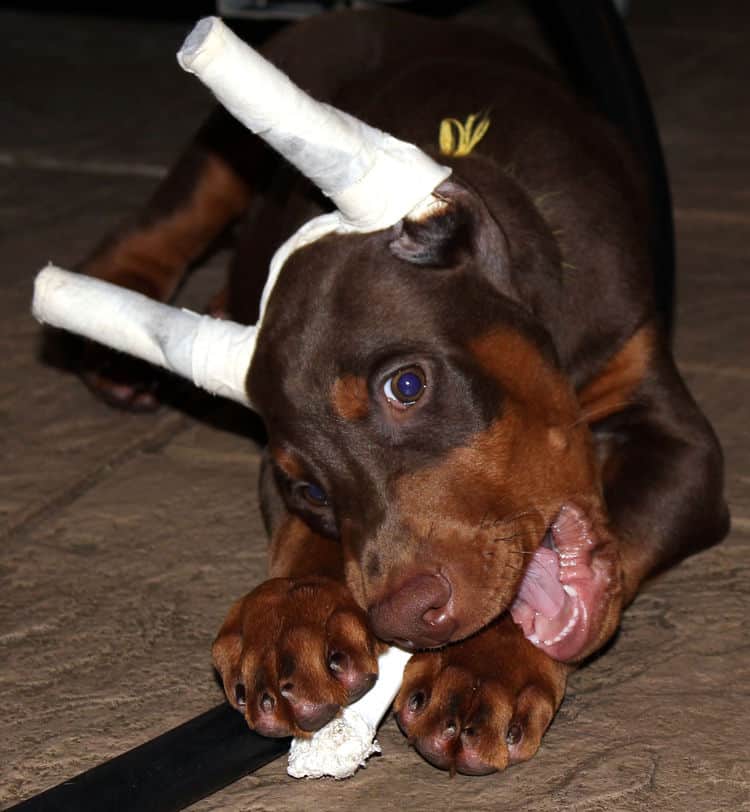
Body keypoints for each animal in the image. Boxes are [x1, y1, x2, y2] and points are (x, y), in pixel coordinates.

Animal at [70, 11, 728, 772]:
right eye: (310, 488)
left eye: (406, 385)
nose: (404, 618)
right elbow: (300, 538)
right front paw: (291, 617)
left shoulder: (678, 439)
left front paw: (483, 666)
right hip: (222, 150)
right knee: (166, 217)